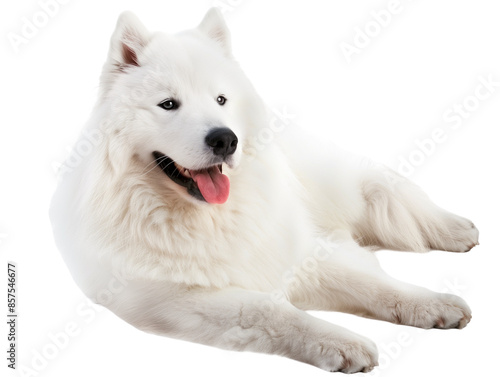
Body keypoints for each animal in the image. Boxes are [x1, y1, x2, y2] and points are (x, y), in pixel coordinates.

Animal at [51, 8, 480, 374]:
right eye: (168, 104)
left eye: (221, 100)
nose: (225, 139)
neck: (208, 219)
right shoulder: (174, 300)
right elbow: (267, 309)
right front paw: (341, 343)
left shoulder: (296, 254)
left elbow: (371, 283)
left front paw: (432, 303)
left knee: (378, 186)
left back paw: (454, 229)